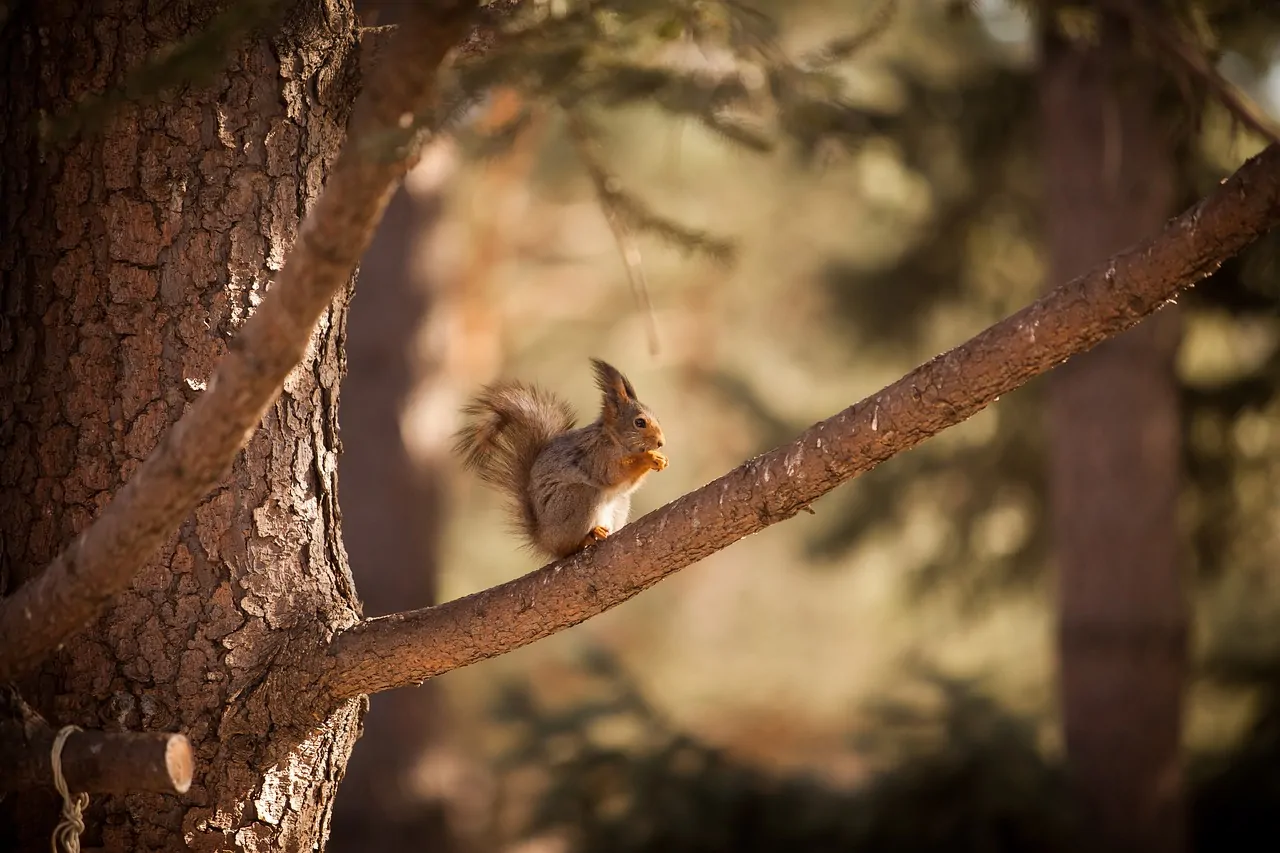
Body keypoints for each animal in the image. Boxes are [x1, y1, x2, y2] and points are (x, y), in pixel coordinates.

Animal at [453, 356, 670, 558]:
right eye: (639, 422)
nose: (661, 442)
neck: (614, 439)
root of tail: (545, 539)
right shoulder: (596, 456)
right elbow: (613, 474)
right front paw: (649, 458)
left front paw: (660, 458)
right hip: (578, 499)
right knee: (567, 547)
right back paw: (587, 538)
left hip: (620, 504)